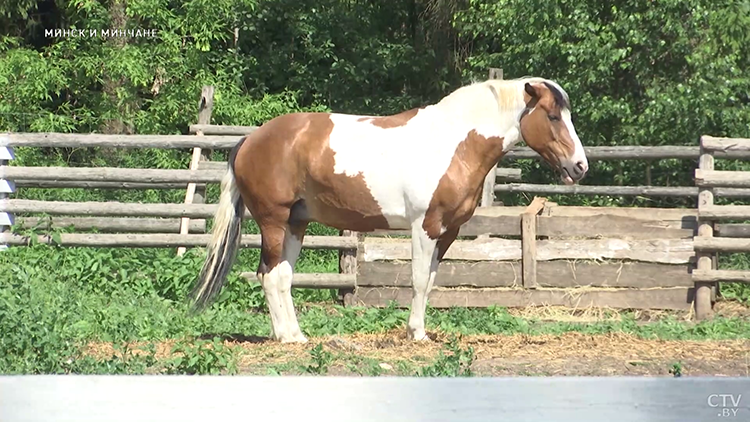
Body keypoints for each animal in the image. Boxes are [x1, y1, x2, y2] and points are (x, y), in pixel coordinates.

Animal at [188, 76, 588, 342]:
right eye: (553, 116)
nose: (580, 166)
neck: (452, 143)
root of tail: (250, 140)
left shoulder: (449, 232)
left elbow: (430, 280)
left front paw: (421, 331)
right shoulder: (425, 226)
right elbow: (418, 280)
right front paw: (416, 334)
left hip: (295, 223)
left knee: (282, 276)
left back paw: (294, 335)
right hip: (273, 220)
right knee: (270, 275)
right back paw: (287, 338)